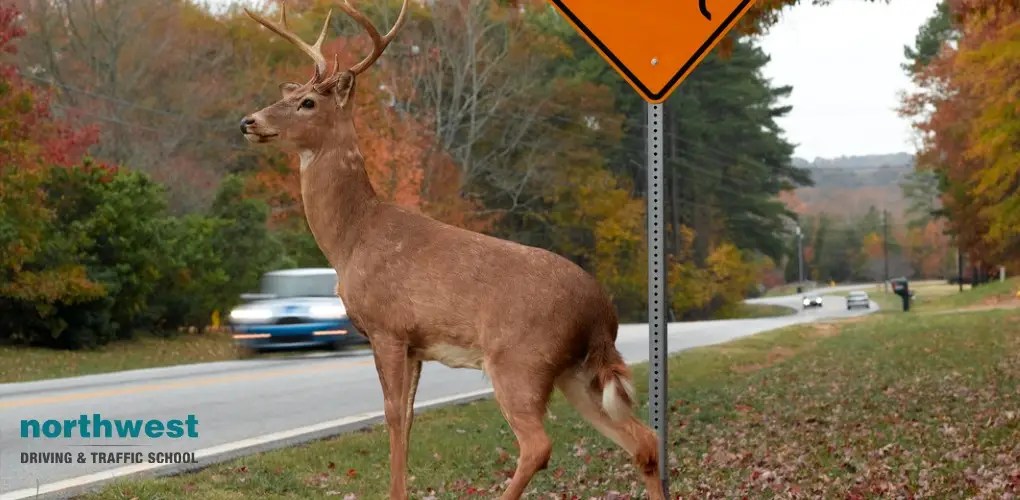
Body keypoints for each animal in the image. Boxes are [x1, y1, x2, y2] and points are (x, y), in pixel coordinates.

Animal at [239, 1, 667, 498]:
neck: (352, 238)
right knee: (643, 439)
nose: (249, 121)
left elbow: (392, 417)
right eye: (291, 94)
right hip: (575, 371)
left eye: (308, 102)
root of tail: (602, 313)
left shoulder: (387, 327)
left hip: (520, 359)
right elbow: (407, 420)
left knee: (539, 445)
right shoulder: (416, 345)